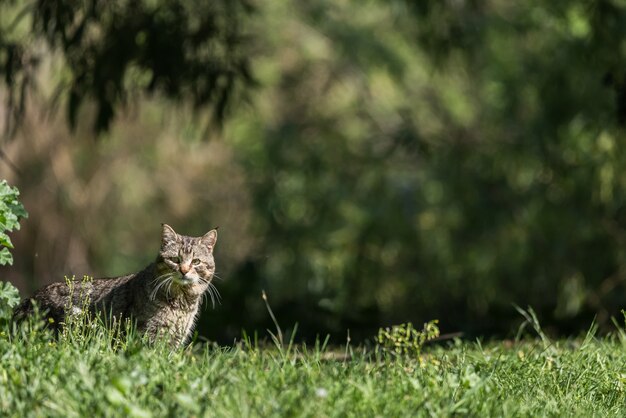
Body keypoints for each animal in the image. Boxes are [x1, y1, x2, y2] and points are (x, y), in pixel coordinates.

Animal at [12, 224, 218, 348]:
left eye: (196, 262)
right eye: (175, 259)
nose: (184, 270)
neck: (182, 302)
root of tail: (28, 300)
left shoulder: (175, 339)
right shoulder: (147, 335)